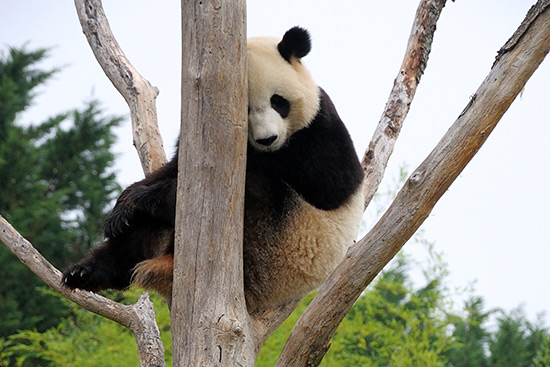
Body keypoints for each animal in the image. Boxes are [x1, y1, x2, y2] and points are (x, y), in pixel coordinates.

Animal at [63, 26, 366, 314]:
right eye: (244, 109)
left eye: (278, 101)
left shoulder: (319, 130)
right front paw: (123, 206)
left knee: (252, 193)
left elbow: (330, 185)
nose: (267, 139)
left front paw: (142, 198)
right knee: (136, 238)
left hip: (279, 250)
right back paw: (85, 272)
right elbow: (174, 169)